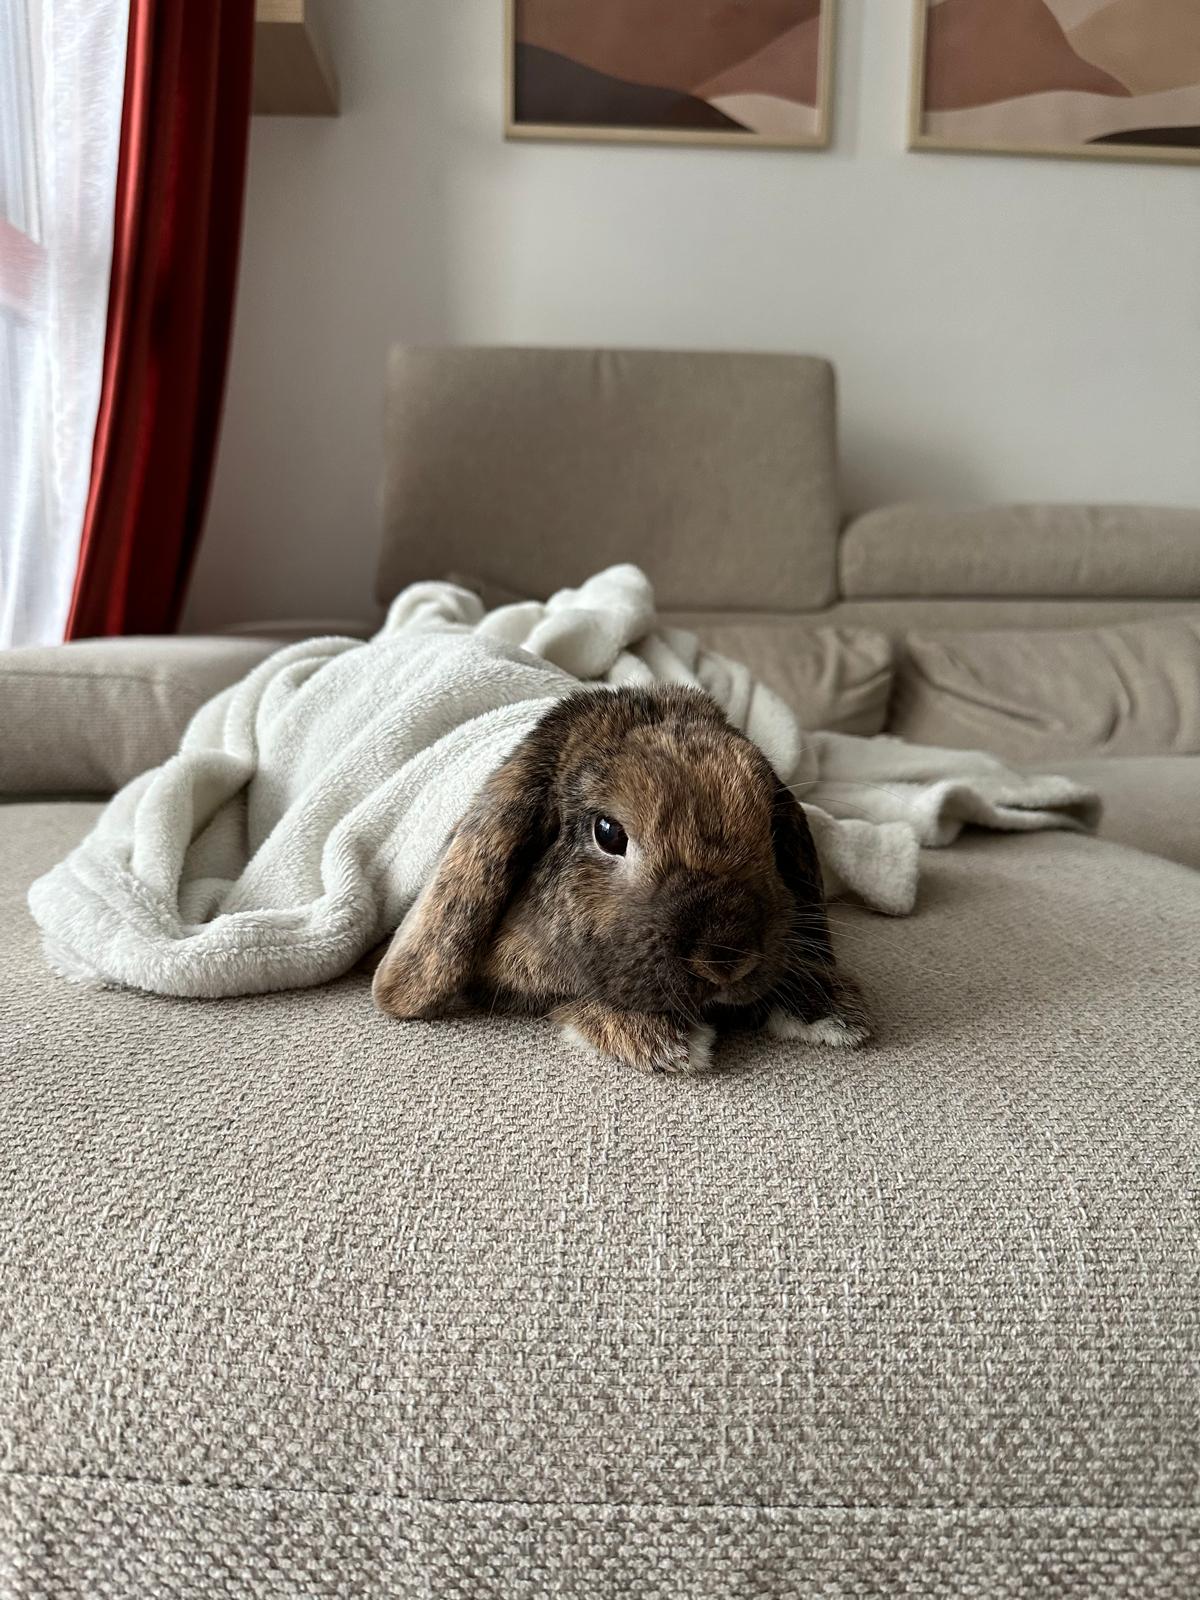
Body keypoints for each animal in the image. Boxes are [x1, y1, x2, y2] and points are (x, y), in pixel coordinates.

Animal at [372, 685, 869, 1076]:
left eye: (771, 829)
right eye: (608, 833)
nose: (726, 959)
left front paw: (832, 1008)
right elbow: (567, 996)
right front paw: (663, 1040)